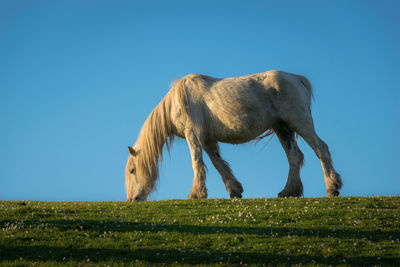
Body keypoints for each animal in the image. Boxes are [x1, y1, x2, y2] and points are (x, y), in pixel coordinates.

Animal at [124, 71, 340, 201]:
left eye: (133, 170)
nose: (132, 199)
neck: (177, 102)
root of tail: (297, 78)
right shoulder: (208, 140)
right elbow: (218, 164)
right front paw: (234, 190)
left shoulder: (193, 135)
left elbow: (197, 162)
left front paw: (196, 194)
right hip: (283, 128)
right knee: (295, 157)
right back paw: (289, 191)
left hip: (300, 122)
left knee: (321, 149)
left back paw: (332, 187)